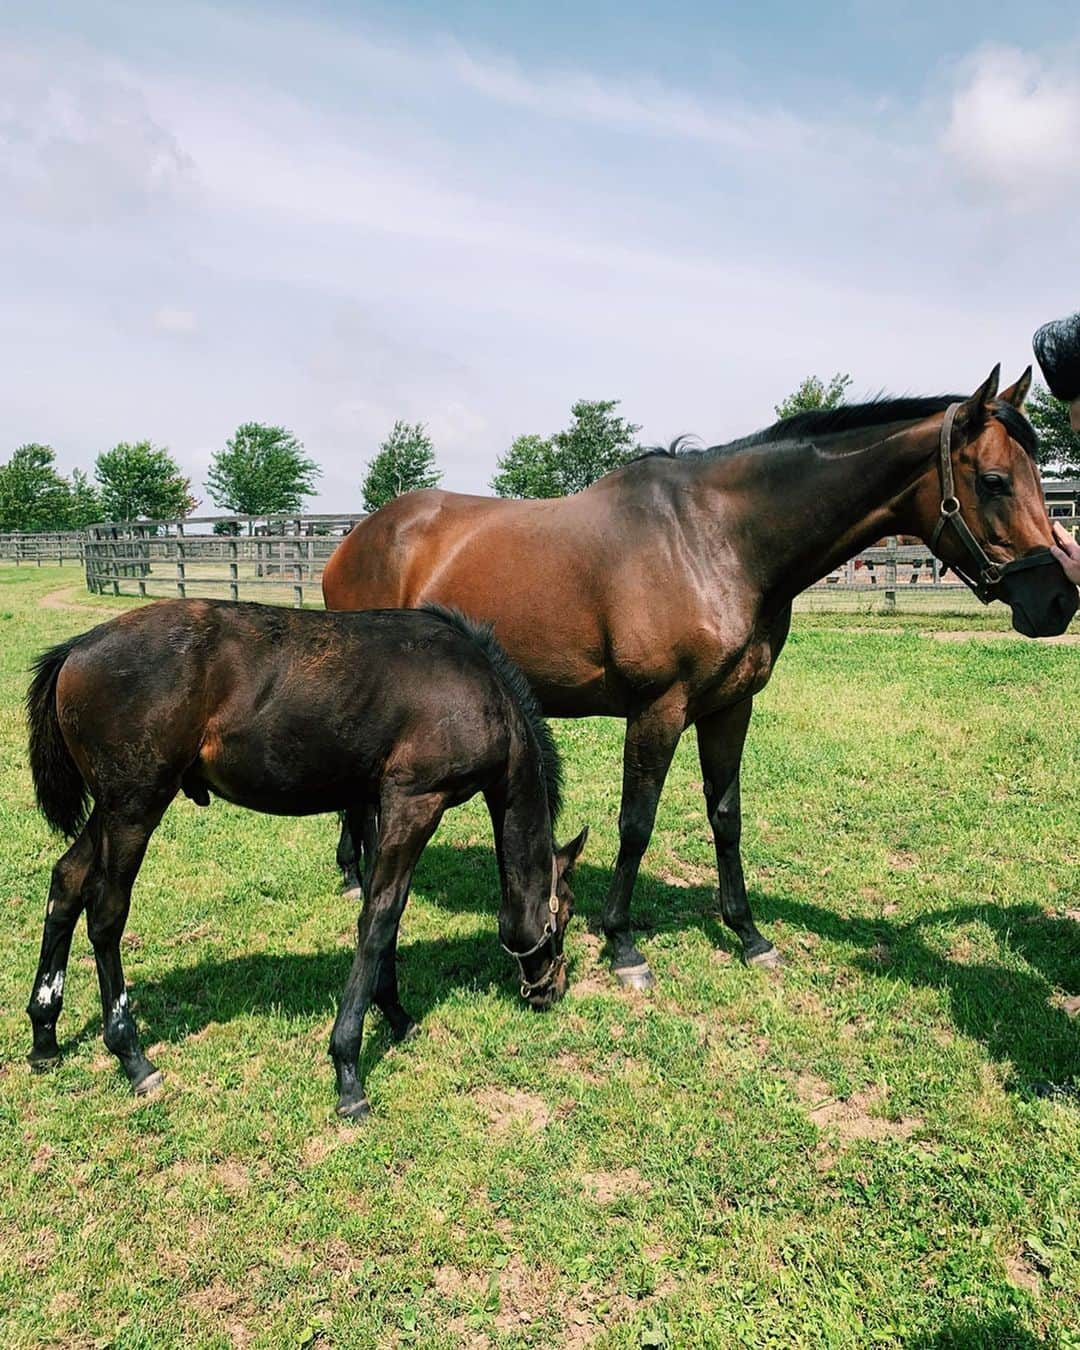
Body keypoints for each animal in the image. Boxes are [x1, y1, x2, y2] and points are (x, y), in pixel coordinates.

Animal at [25, 602, 585, 1117]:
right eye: (566, 914)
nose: (550, 989)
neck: (478, 687)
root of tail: (76, 649)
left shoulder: (375, 803)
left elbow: (383, 913)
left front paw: (396, 1015)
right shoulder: (416, 802)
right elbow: (380, 917)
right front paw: (349, 1072)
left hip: (110, 810)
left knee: (67, 882)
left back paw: (44, 1035)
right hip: (133, 810)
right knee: (106, 914)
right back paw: (132, 1055)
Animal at [325, 364, 1074, 988]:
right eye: (994, 481)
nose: (1058, 600)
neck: (718, 540)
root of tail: (356, 536)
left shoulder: (729, 707)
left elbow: (726, 816)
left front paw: (749, 935)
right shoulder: (659, 709)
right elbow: (636, 823)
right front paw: (623, 944)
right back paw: (357, 878)